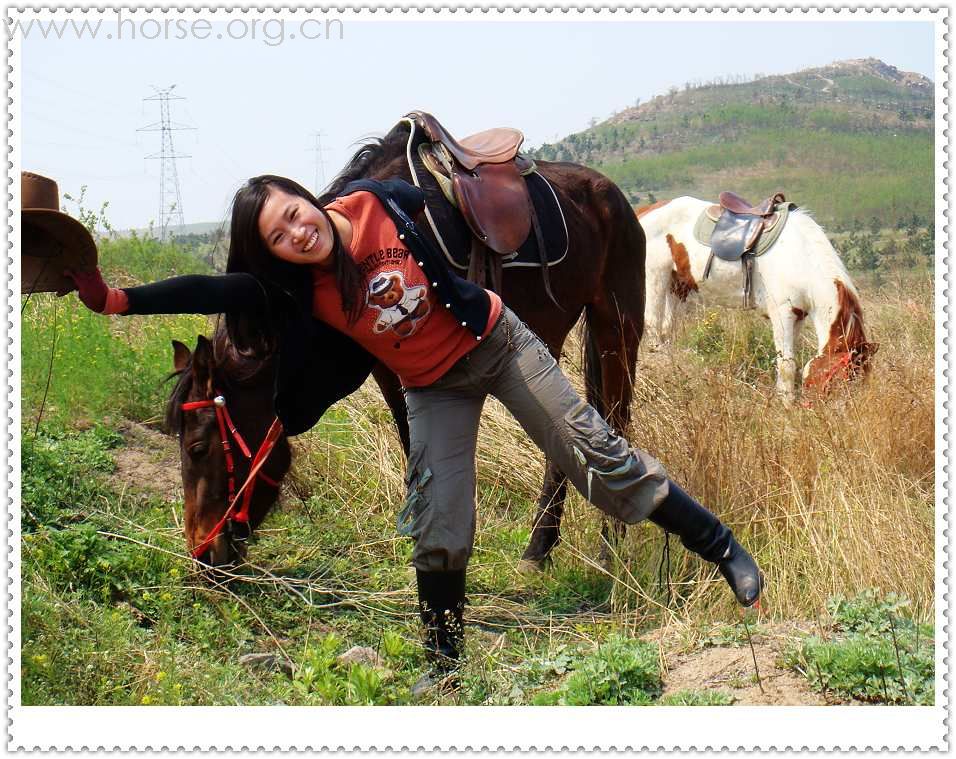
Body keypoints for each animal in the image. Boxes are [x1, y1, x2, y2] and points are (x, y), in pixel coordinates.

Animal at [172, 117, 648, 568]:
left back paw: (603, 546)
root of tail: (612, 195)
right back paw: (544, 545)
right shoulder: (387, 367)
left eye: (197, 448)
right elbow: (410, 440)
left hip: (616, 329)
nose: (204, 553)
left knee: (615, 420)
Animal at [636, 196, 872, 400]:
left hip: (678, 285)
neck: (803, 257)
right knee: (654, 325)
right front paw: (787, 406)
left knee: (667, 329)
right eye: (841, 378)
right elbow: (787, 366)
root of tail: (644, 212)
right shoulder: (782, 314)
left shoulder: (797, 316)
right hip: (656, 275)